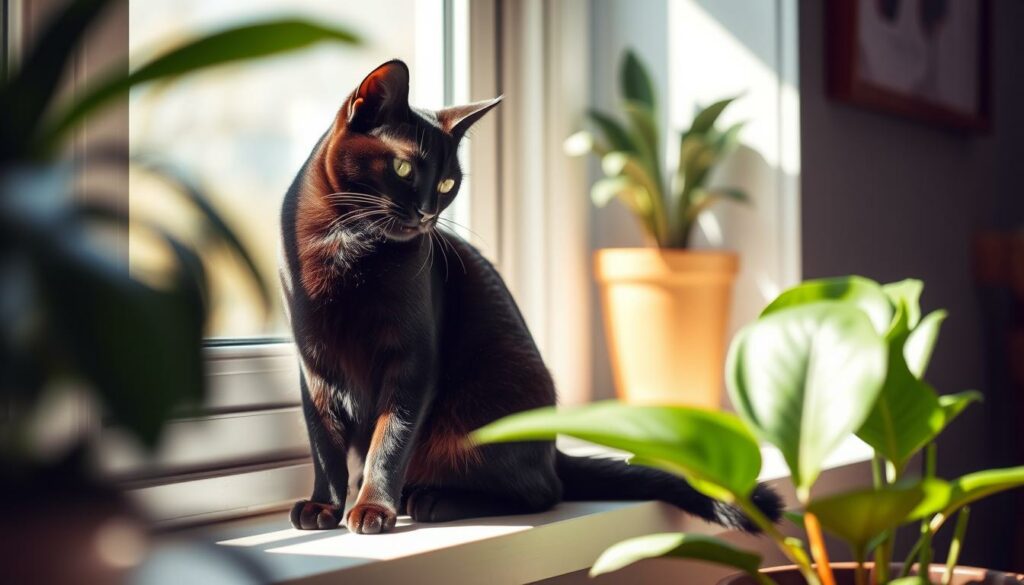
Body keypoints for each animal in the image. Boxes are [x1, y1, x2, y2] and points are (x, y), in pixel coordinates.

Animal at [276, 60, 778, 536]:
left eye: (447, 184)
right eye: (403, 168)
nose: (426, 214)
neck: (346, 245)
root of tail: (555, 449)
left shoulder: (413, 360)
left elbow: (390, 439)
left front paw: (372, 508)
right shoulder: (314, 363)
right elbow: (324, 443)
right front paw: (324, 505)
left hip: (489, 396)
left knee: (543, 492)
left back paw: (431, 500)